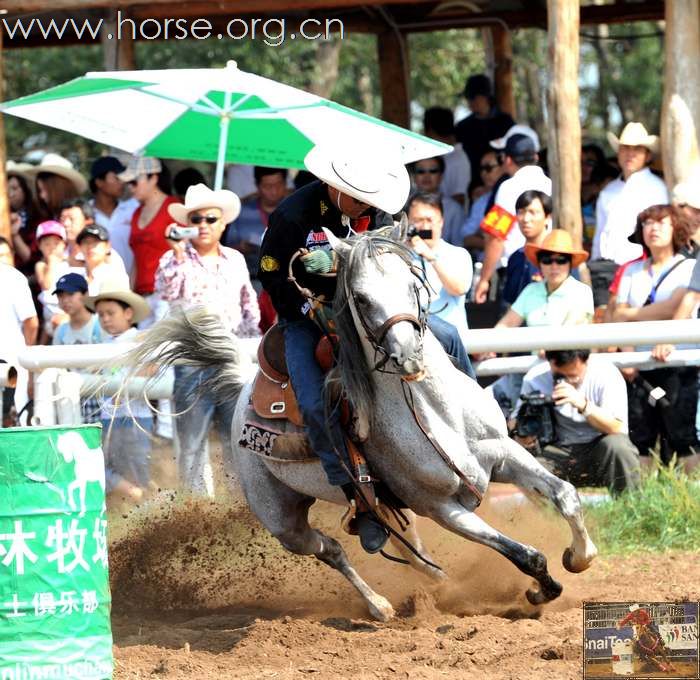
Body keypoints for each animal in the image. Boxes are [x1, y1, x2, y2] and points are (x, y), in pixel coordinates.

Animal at [126, 230, 596, 620]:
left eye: (412, 284)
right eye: (362, 298)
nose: (408, 355)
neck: (434, 411)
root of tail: (244, 391)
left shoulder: (504, 454)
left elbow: (566, 495)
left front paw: (580, 557)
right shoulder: (442, 508)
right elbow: (524, 554)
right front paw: (540, 591)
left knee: (407, 545)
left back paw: (436, 581)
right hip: (281, 518)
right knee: (331, 550)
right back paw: (380, 605)